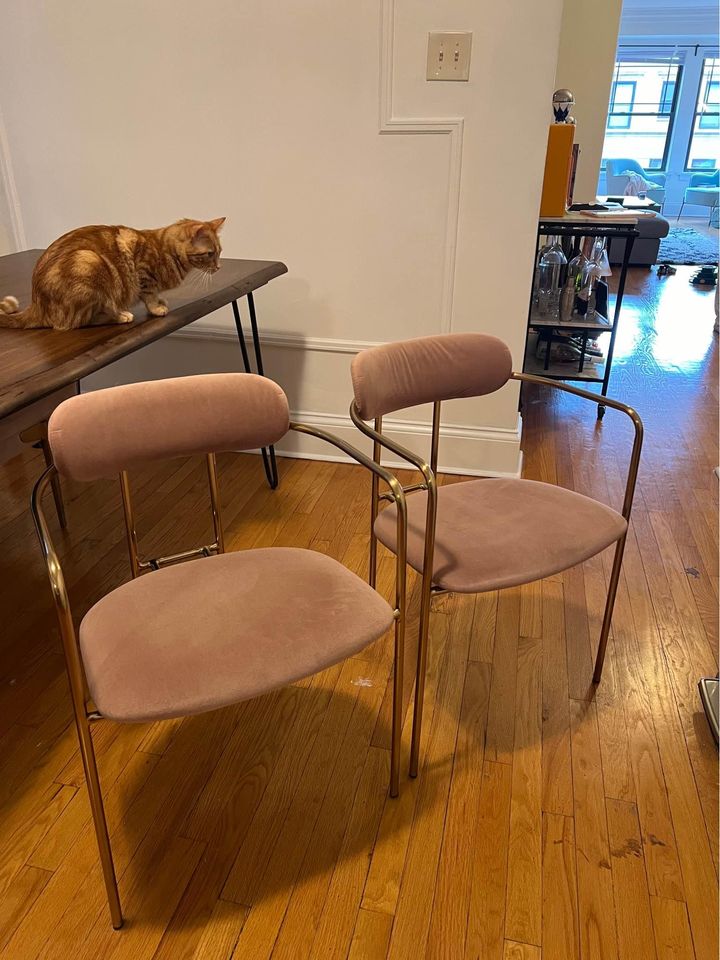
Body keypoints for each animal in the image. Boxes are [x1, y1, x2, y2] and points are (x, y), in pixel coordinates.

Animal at [0, 217, 225, 330]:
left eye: (220, 251)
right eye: (210, 253)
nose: (219, 267)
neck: (165, 250)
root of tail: (36, 303)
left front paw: (161, 302)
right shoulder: (143, 274)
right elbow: (150, 295)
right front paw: (156, 308)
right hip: (88, 261)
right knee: (76, 322)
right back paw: (120, 315)